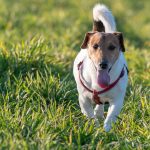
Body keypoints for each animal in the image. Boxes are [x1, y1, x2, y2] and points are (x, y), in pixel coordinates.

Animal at [73, 3, 128, 131]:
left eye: (112, 47)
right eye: (95, 46)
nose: (103, 64)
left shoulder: (117, 100)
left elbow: (110, 118)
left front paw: (106, 132)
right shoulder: (83, 99)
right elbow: (90, 115)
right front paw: (95, 128)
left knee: (100, 105)